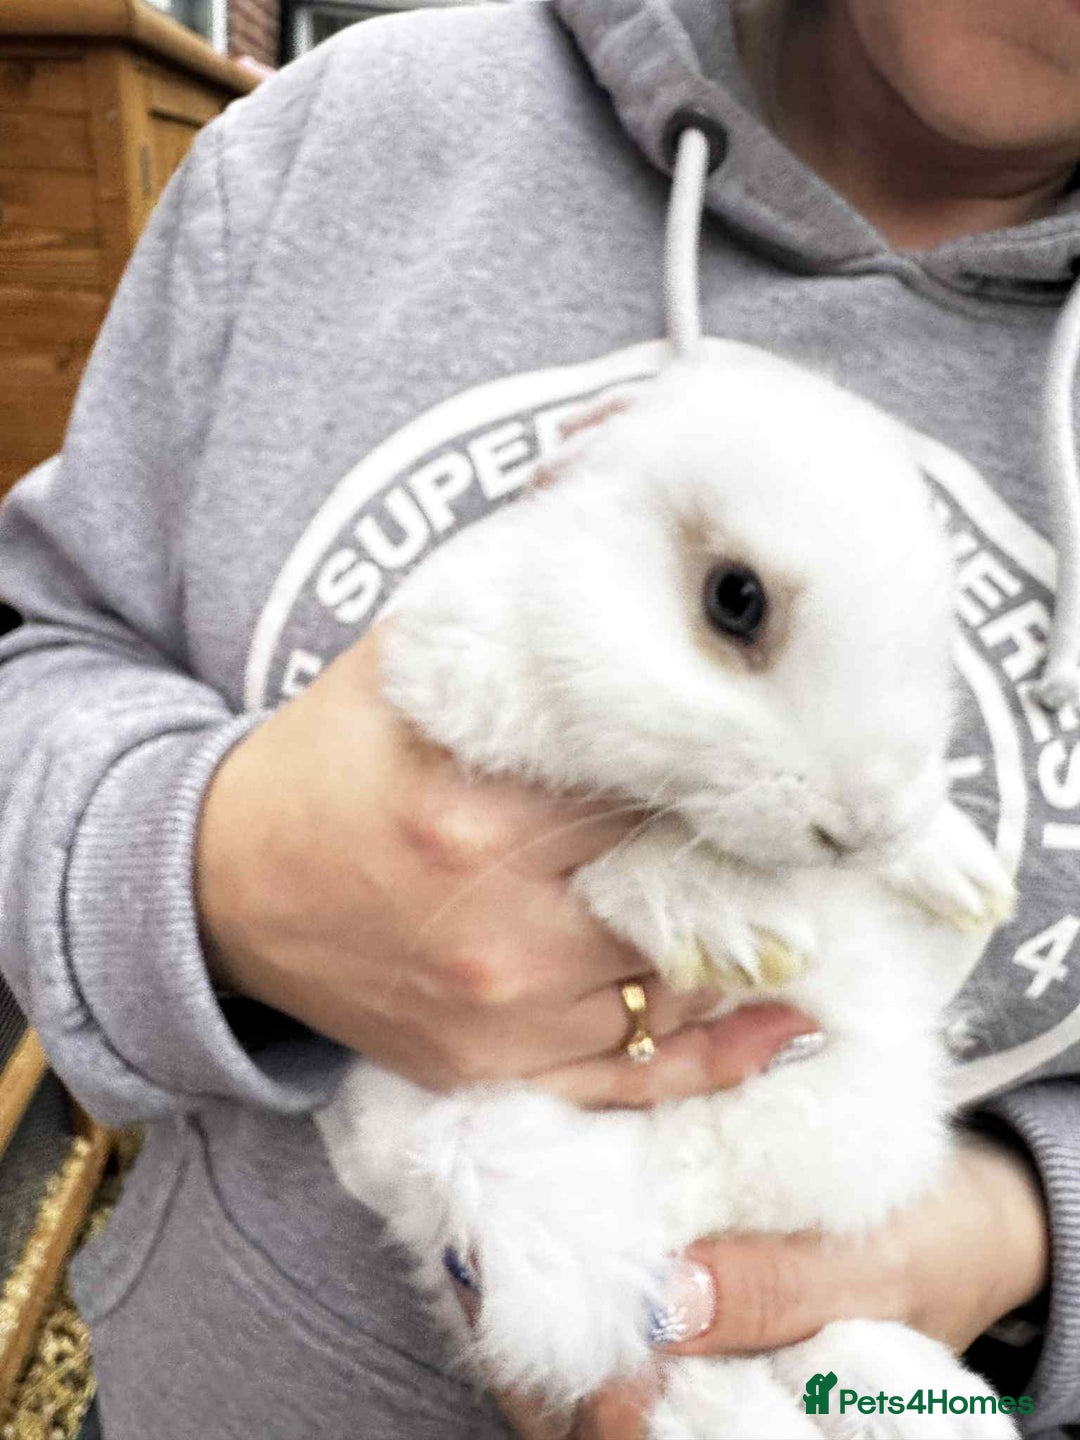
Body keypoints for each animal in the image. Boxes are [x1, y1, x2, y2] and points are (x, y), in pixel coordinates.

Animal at [316, 344, 1019, 1439]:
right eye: (736, 598)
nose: (862, 825)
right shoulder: (466, 696)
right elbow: (625, 840)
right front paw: (729, 922)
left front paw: (957, 868)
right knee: (690, 1367)